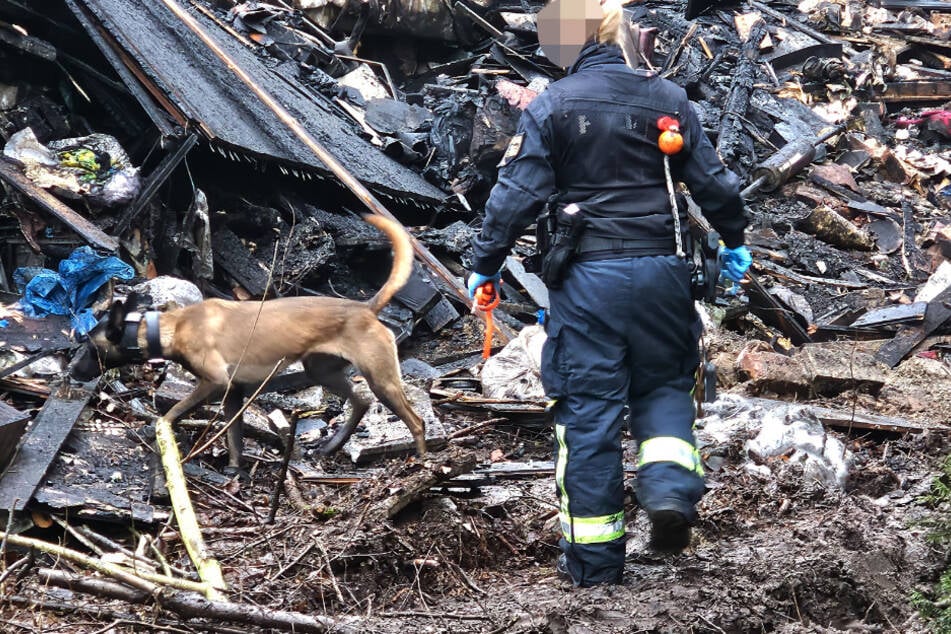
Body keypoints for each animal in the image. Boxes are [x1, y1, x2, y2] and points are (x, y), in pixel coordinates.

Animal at [72, 215, 430, 472]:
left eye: (91, 347)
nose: (72, 372)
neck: (171, 327)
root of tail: (366, 307)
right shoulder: (234, 391)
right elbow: (234, 436)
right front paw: (234, 469)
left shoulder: (216, 382)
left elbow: (175, 410)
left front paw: (159, 430)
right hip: (321, 369)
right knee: (361, 402)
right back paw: (331, 446)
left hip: (382, 379)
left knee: (416, 421)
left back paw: (421, 463)